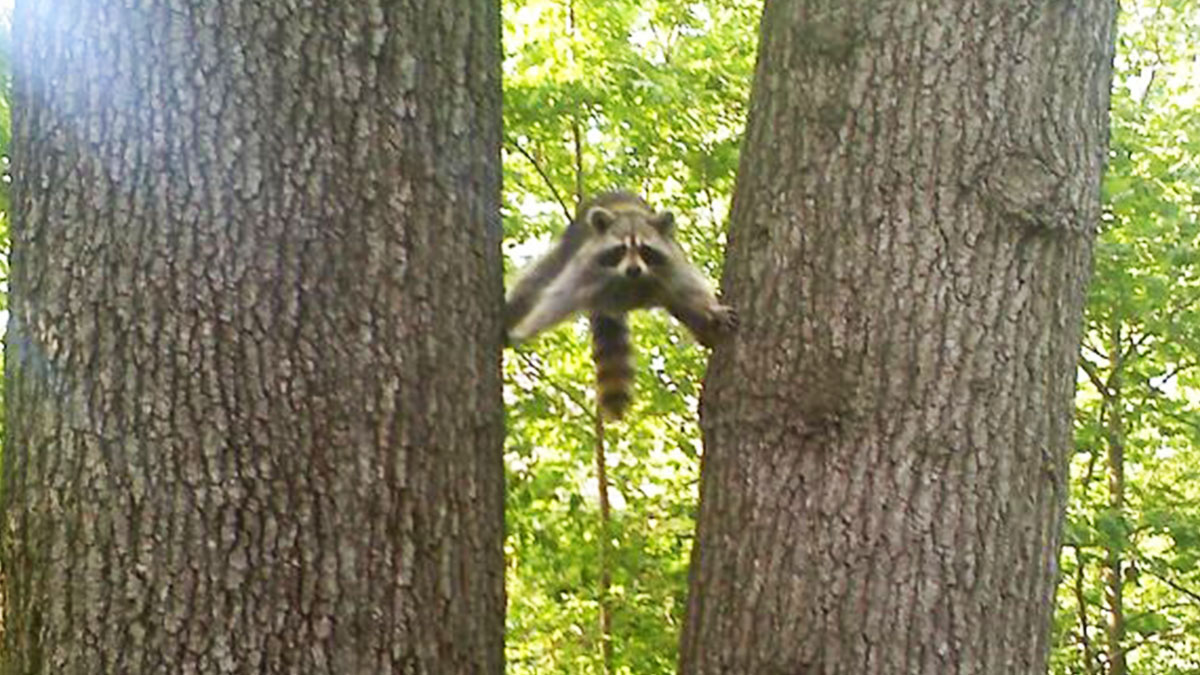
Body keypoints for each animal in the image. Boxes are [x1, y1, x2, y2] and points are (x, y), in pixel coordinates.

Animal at [505, 191, 738, 418]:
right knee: (535, 282)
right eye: (620, 249)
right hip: (567, 249)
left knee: (682, 305)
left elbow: (691, 290)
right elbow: (558, 298)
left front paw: (712, 310)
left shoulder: (672, 265)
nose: (633, 270)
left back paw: (704, 330)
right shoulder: (586, 269)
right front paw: (526, 329)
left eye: (645, 250)